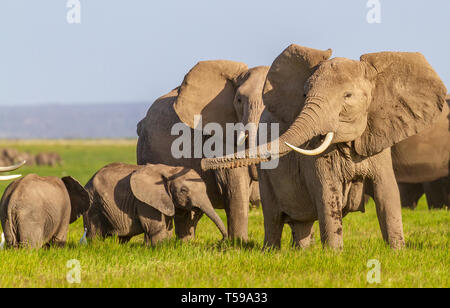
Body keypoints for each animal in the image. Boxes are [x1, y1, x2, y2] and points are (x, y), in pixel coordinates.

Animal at [82, 161, 227, 245]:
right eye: (184, 190)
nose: (221, 240)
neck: (169, 170)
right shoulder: (145, 201)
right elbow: (157, 226)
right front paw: (160, 248)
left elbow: (171, 224)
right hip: (93, 204)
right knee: (94, 234)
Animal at [203, 44, 446, 249]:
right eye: (304, 94)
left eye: (348, 96)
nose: (205, 164)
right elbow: (327, 193)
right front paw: (334, 254)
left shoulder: (377, 140)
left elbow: (387, 192)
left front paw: (397, 252)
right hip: (267, 177)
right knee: (274, 217)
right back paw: (271, 252)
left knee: (302, 221)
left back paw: (301, 253)